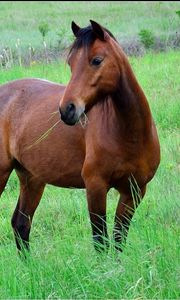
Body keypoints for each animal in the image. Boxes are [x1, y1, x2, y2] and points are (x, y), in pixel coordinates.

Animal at [0, 19, 160, 253]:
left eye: (97, 60)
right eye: (71, 63)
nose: (67, 110)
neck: (130, 135)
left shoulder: (134, 191)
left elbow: (119, 240)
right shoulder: (95, 187)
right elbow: (101, 241)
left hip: (31, 178)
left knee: (21, 224)